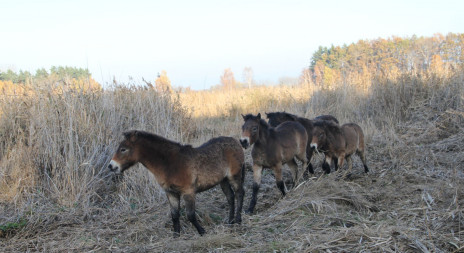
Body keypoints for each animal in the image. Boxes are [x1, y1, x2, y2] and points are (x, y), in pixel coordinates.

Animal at [109, 131, 246, 236]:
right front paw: (176, 234)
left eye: (123, 149)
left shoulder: (188, 192)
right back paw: (230, 221)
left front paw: (202, 231)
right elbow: (174, 215)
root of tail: (236, 142)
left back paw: (238, 220)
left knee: (239, 194)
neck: (170, 163)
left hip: (234, 176)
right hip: (223, 180)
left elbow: (190, 215)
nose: (111, 166)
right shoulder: (171, 193)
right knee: (230, 197)